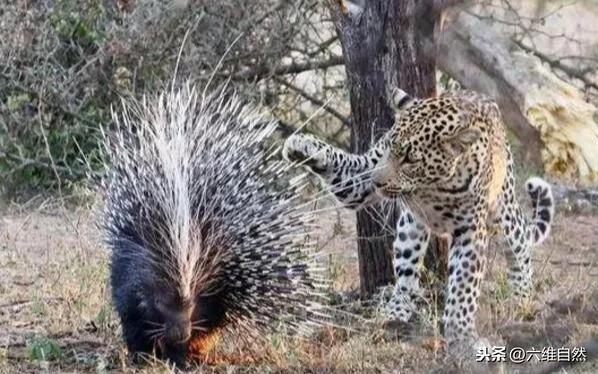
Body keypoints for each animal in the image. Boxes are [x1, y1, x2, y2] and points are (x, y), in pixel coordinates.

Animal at [284, 88, 556, 354]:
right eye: (388, 148)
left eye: (410, 159)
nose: (377, 182)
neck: (433, 186)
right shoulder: (363, 176)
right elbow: (345, 167)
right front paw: (302, 145)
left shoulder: (470, 230)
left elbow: (463, 287)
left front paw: (462, 337)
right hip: (410, 229)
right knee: (406, 278)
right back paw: (394, 315)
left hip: (503, 207)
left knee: (519, 241)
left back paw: (522, 297)